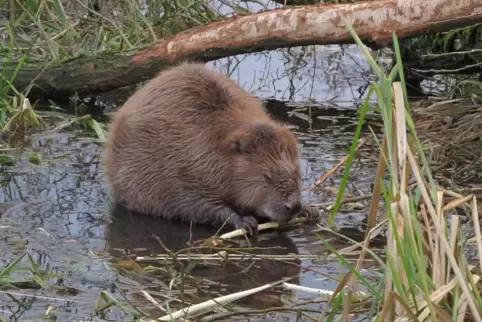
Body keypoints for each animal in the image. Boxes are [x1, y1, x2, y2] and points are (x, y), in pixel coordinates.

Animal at [103, 63, 318, 235]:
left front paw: (310, 210)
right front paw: (245, 221)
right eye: (266, 176)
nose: (293, 206)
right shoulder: (177, 171)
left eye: (297, 172)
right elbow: (193, 203)